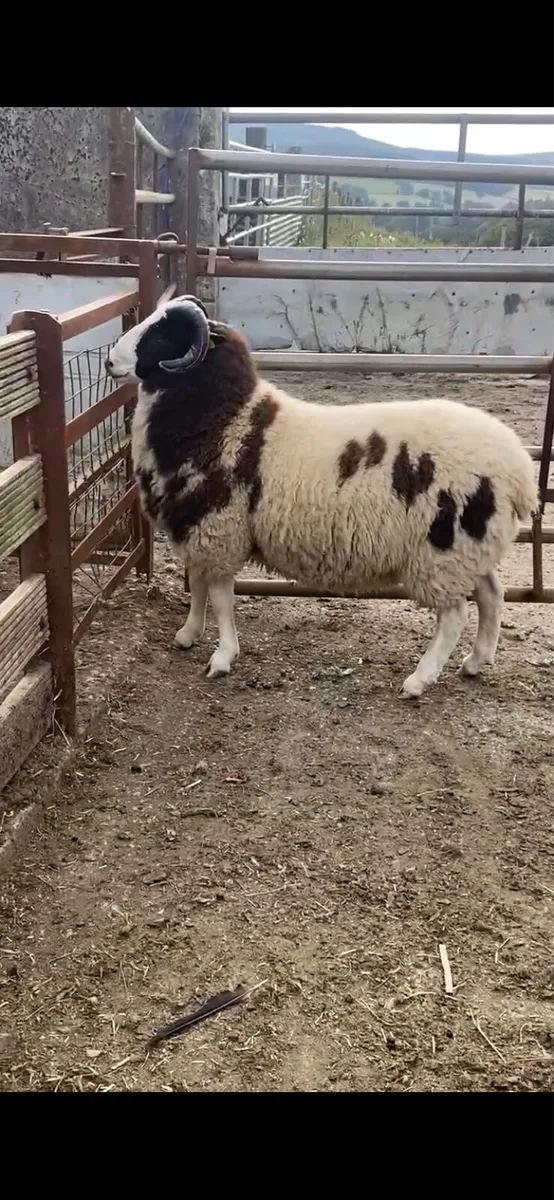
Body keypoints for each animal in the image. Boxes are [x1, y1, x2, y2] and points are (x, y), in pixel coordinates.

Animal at [105, 293, 537, 698]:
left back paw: (419, 680)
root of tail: (520, 470)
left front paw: (223, 656)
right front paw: (188, 634)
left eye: (164, 334)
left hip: (444, 550)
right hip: (470, 546)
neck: (229, 419)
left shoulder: (219, 526)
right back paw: (477, 661)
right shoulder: (197, 523)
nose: (110, 362)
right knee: (492, 594)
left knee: (454, 615)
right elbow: (197, 584)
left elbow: (222, 597)